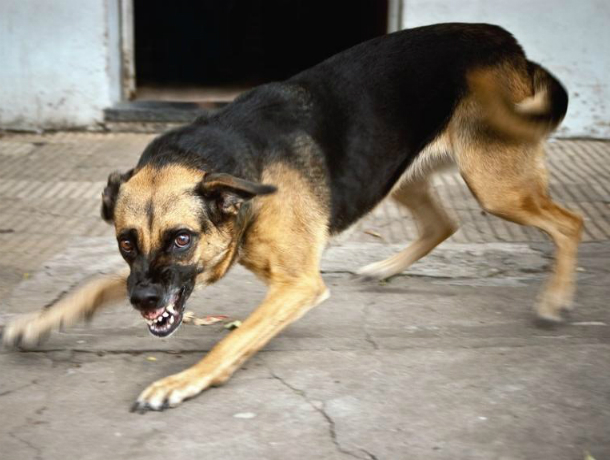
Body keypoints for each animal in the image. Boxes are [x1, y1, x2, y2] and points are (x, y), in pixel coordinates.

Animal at [3, 24, 580, 414]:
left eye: (182, 239)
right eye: (126, 241)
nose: (143, 303)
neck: (239, 179)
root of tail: (508, 43)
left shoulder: (297, 285)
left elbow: (232, 340)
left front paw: (180, 383)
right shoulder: (159, 276)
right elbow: (96, 284)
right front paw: (42, 320)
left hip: (497, 187)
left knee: (569, 223)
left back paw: (554, 299)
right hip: (399, 175)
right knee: (444, 224)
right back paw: (385, 269)